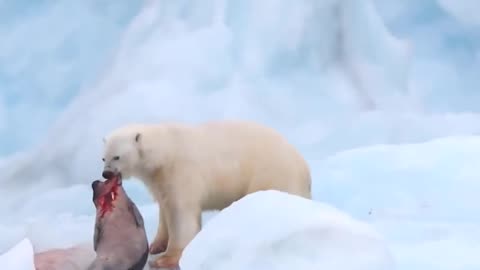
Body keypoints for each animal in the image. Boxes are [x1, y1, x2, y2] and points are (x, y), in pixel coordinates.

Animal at [101, 120, 312, 268]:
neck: (166, 150)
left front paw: (165, 259)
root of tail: (304, 170)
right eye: (103, 157)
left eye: (117, 156)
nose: (106, 174)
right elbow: (165, 209)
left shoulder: (181, 172)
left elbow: (181, 214)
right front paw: (156, 245)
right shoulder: (160, 180)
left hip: (271, 174)